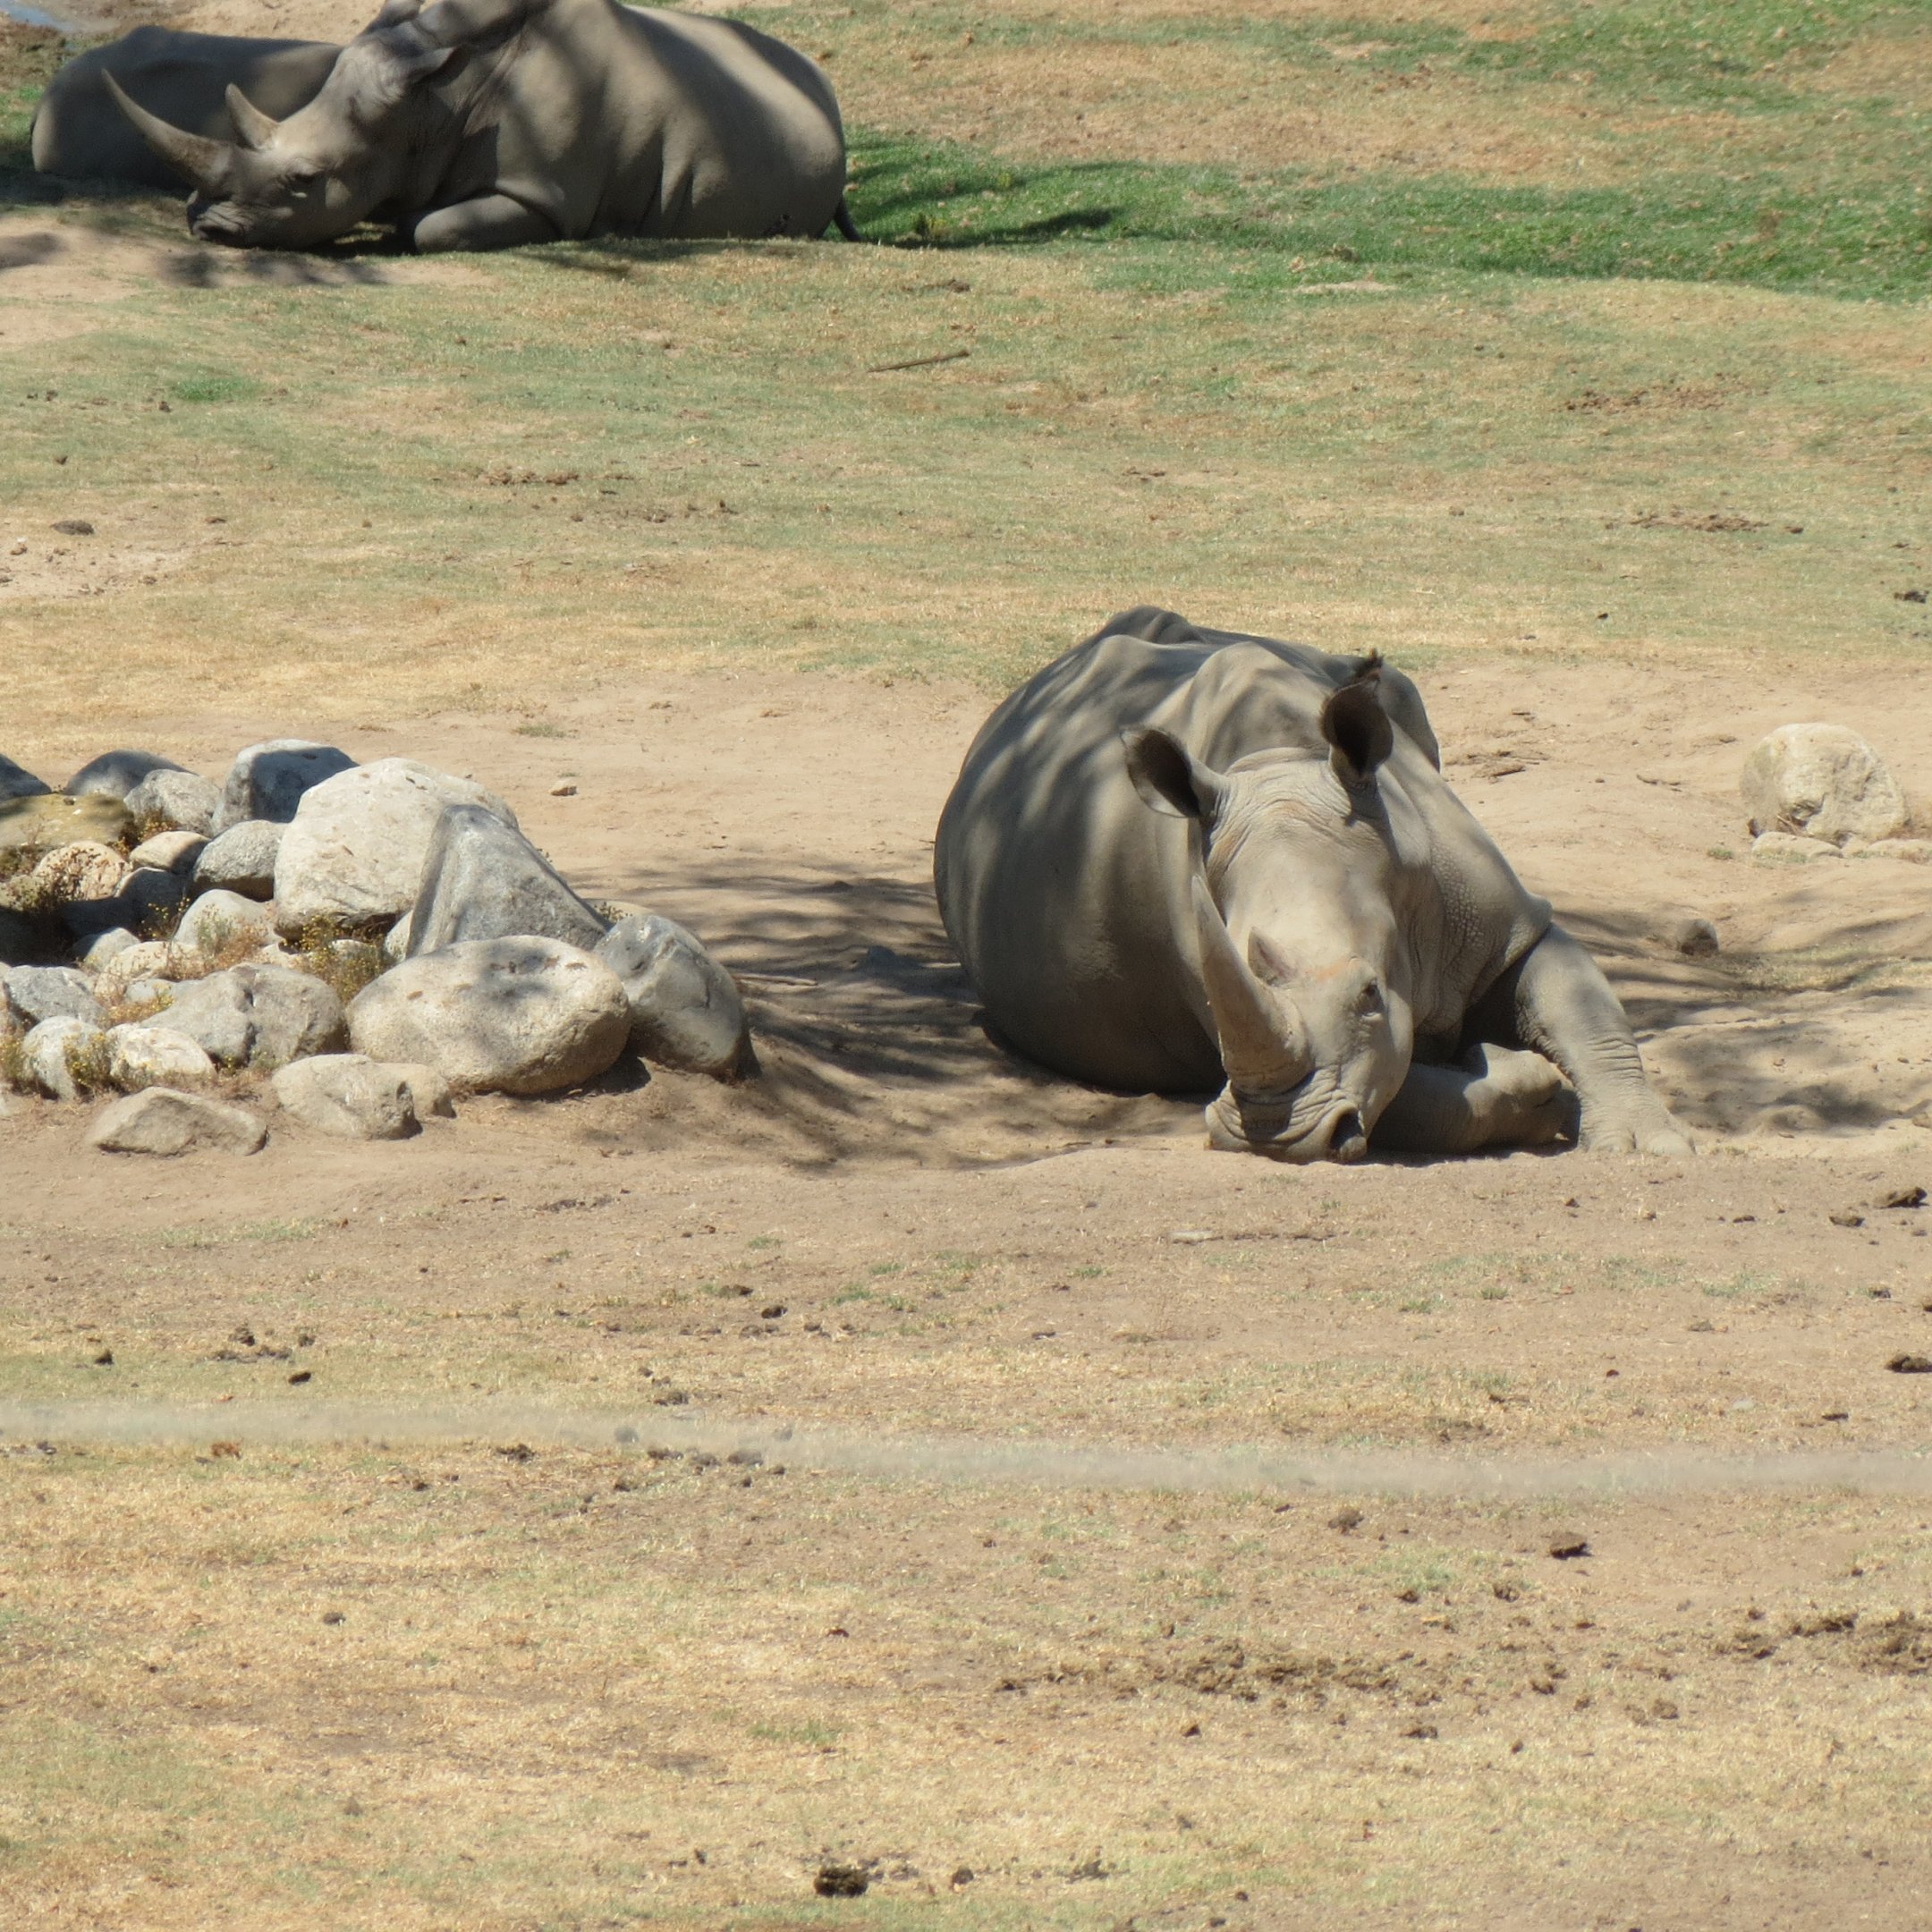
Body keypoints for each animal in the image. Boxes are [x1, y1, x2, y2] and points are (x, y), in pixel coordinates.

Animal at [934, 608, 1692, 1162]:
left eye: (1370, 993)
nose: (1275, 1137)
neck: (1283, 767)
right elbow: (1408, 1098)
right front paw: (1531, 1088)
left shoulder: (1510, 925)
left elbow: (1582, 1007)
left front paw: (1644, 1148)